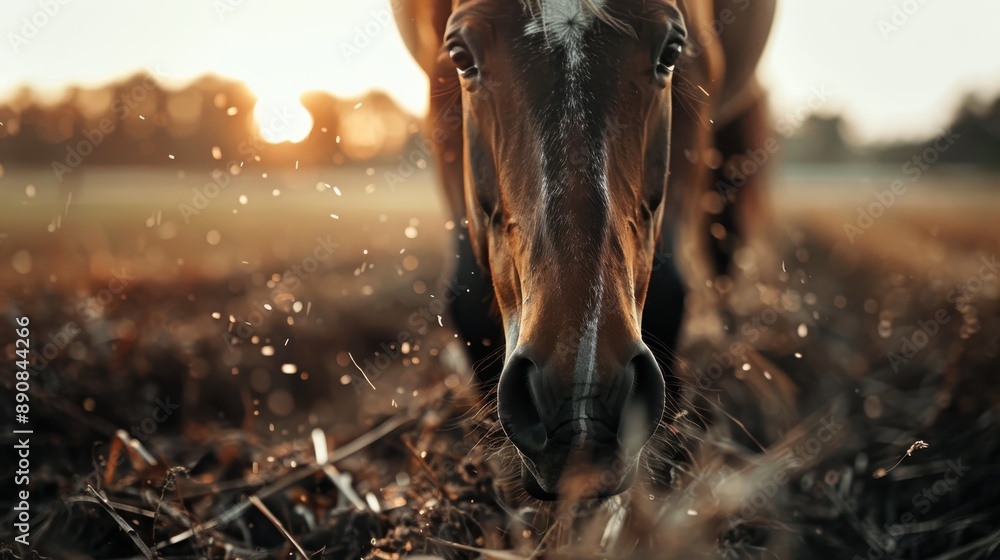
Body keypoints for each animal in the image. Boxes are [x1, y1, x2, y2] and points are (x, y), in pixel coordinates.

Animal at [394, 0, 775, 500]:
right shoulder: (439, 87)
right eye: (462, 55)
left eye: (670, 51)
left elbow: (670, 289)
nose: (580, 407)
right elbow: (467, 294)